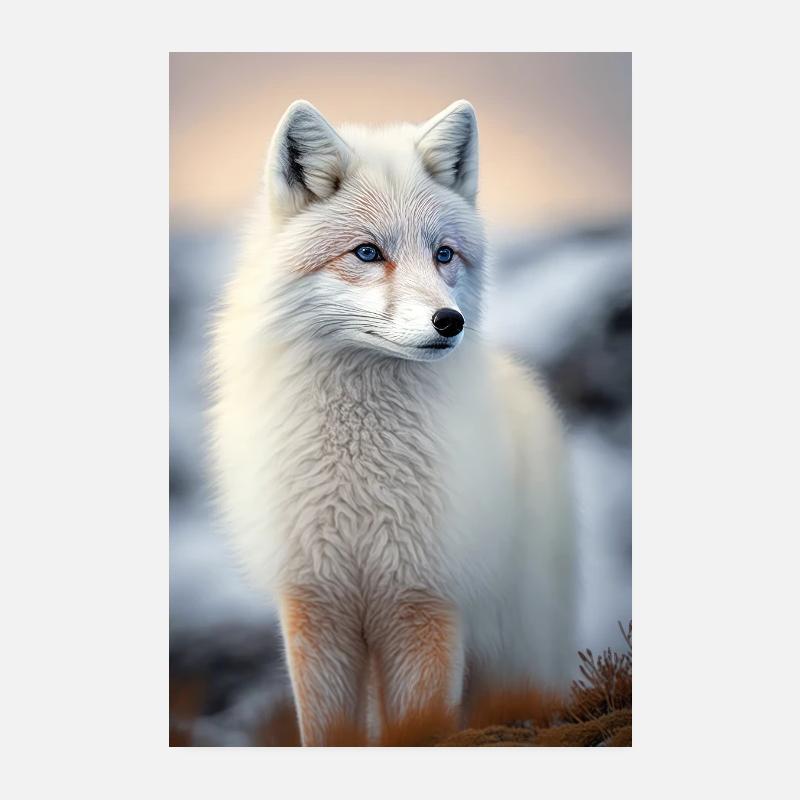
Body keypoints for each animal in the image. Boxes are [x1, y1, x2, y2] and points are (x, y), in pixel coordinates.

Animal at [208, 99, 576, 746]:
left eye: (443, 254)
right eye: (366, 253)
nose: (450, 321)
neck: (359, 474)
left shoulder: (424, 599)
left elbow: (421, 727)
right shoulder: (317, 604)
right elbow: (326, 732)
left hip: (516, 644)